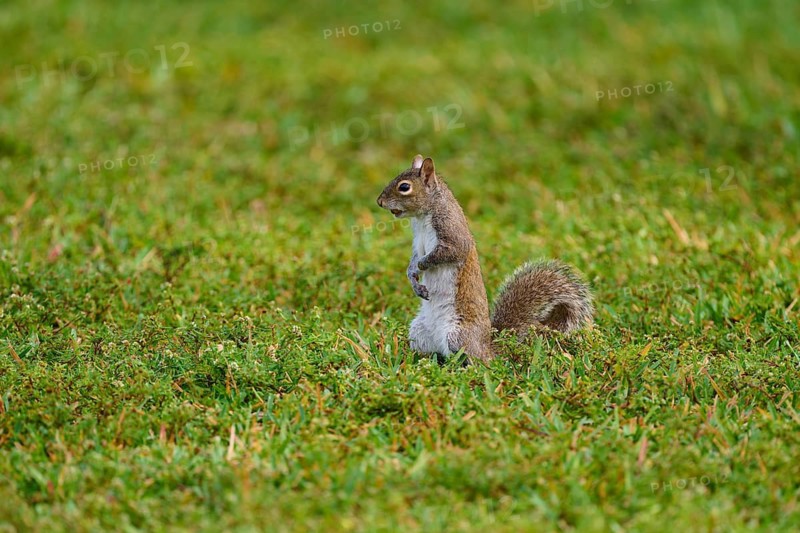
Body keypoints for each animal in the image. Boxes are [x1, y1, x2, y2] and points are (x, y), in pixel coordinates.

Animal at [376, 154, 593, 363]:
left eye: (404, 187)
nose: (379, 202)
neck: (423, 216)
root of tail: (488, 348)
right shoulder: (417, 241)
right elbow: (414, 259)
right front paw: (414, 279)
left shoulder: (452, 232)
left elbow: (448, 253)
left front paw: (423, 265)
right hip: (419, 331)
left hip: (457, 336)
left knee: (475, 362)